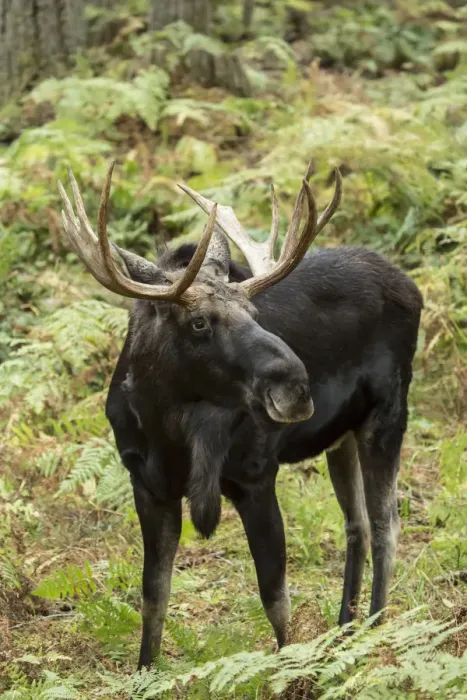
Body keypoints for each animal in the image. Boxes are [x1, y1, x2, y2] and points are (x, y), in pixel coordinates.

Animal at [57, 161, 423, 669]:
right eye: (198, 322)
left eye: (253, 310)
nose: (296, 385)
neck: (169, 433)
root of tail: (412, 286)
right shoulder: (146, 485)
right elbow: (153, 597)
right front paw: (145, 671)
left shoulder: (255, 475)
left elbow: (275, 598)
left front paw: (291, 669)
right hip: (341, 435)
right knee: (359, 525)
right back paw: (344, 629)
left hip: (388, 413)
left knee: (387, 523)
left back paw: (375, 629)